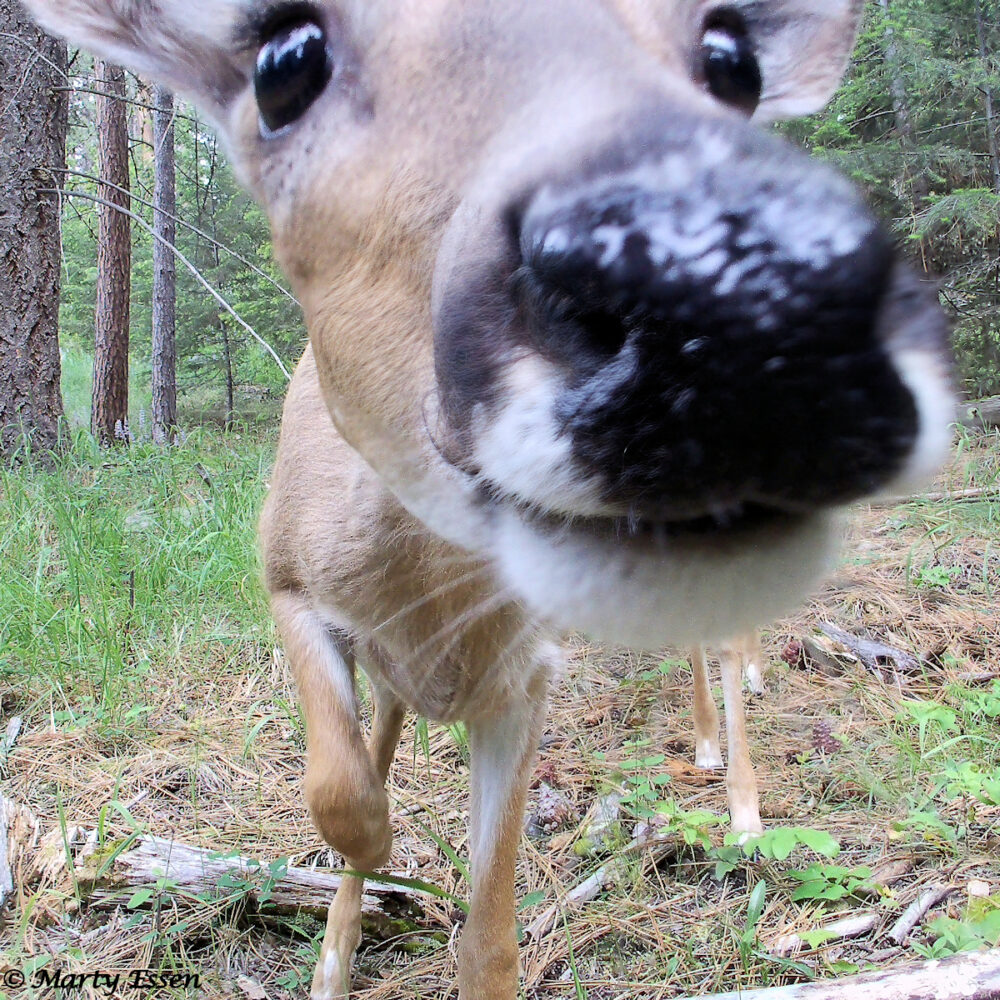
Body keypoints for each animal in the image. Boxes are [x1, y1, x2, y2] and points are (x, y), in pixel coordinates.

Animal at [25, 1, 954, 997]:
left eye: (732, 62)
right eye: (281, 66)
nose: (742, 290)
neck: (436, 603)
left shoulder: (527, 674)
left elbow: (490, 939)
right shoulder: (289, 581)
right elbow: (344, 788)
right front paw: (339, 945)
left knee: (729, 636)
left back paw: (741, 794)